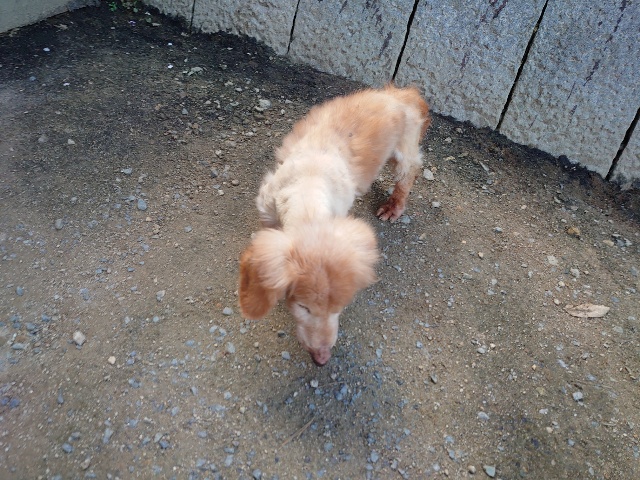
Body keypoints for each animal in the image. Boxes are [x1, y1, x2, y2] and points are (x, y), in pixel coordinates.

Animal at [239, 84, 430, 366]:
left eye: (340, 308)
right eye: (303, 307)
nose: (322, 359)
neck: (310, 185)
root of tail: (403, 93)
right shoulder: (268, 212)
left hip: (404, 153)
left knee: (409, 174)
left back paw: (393, 206)